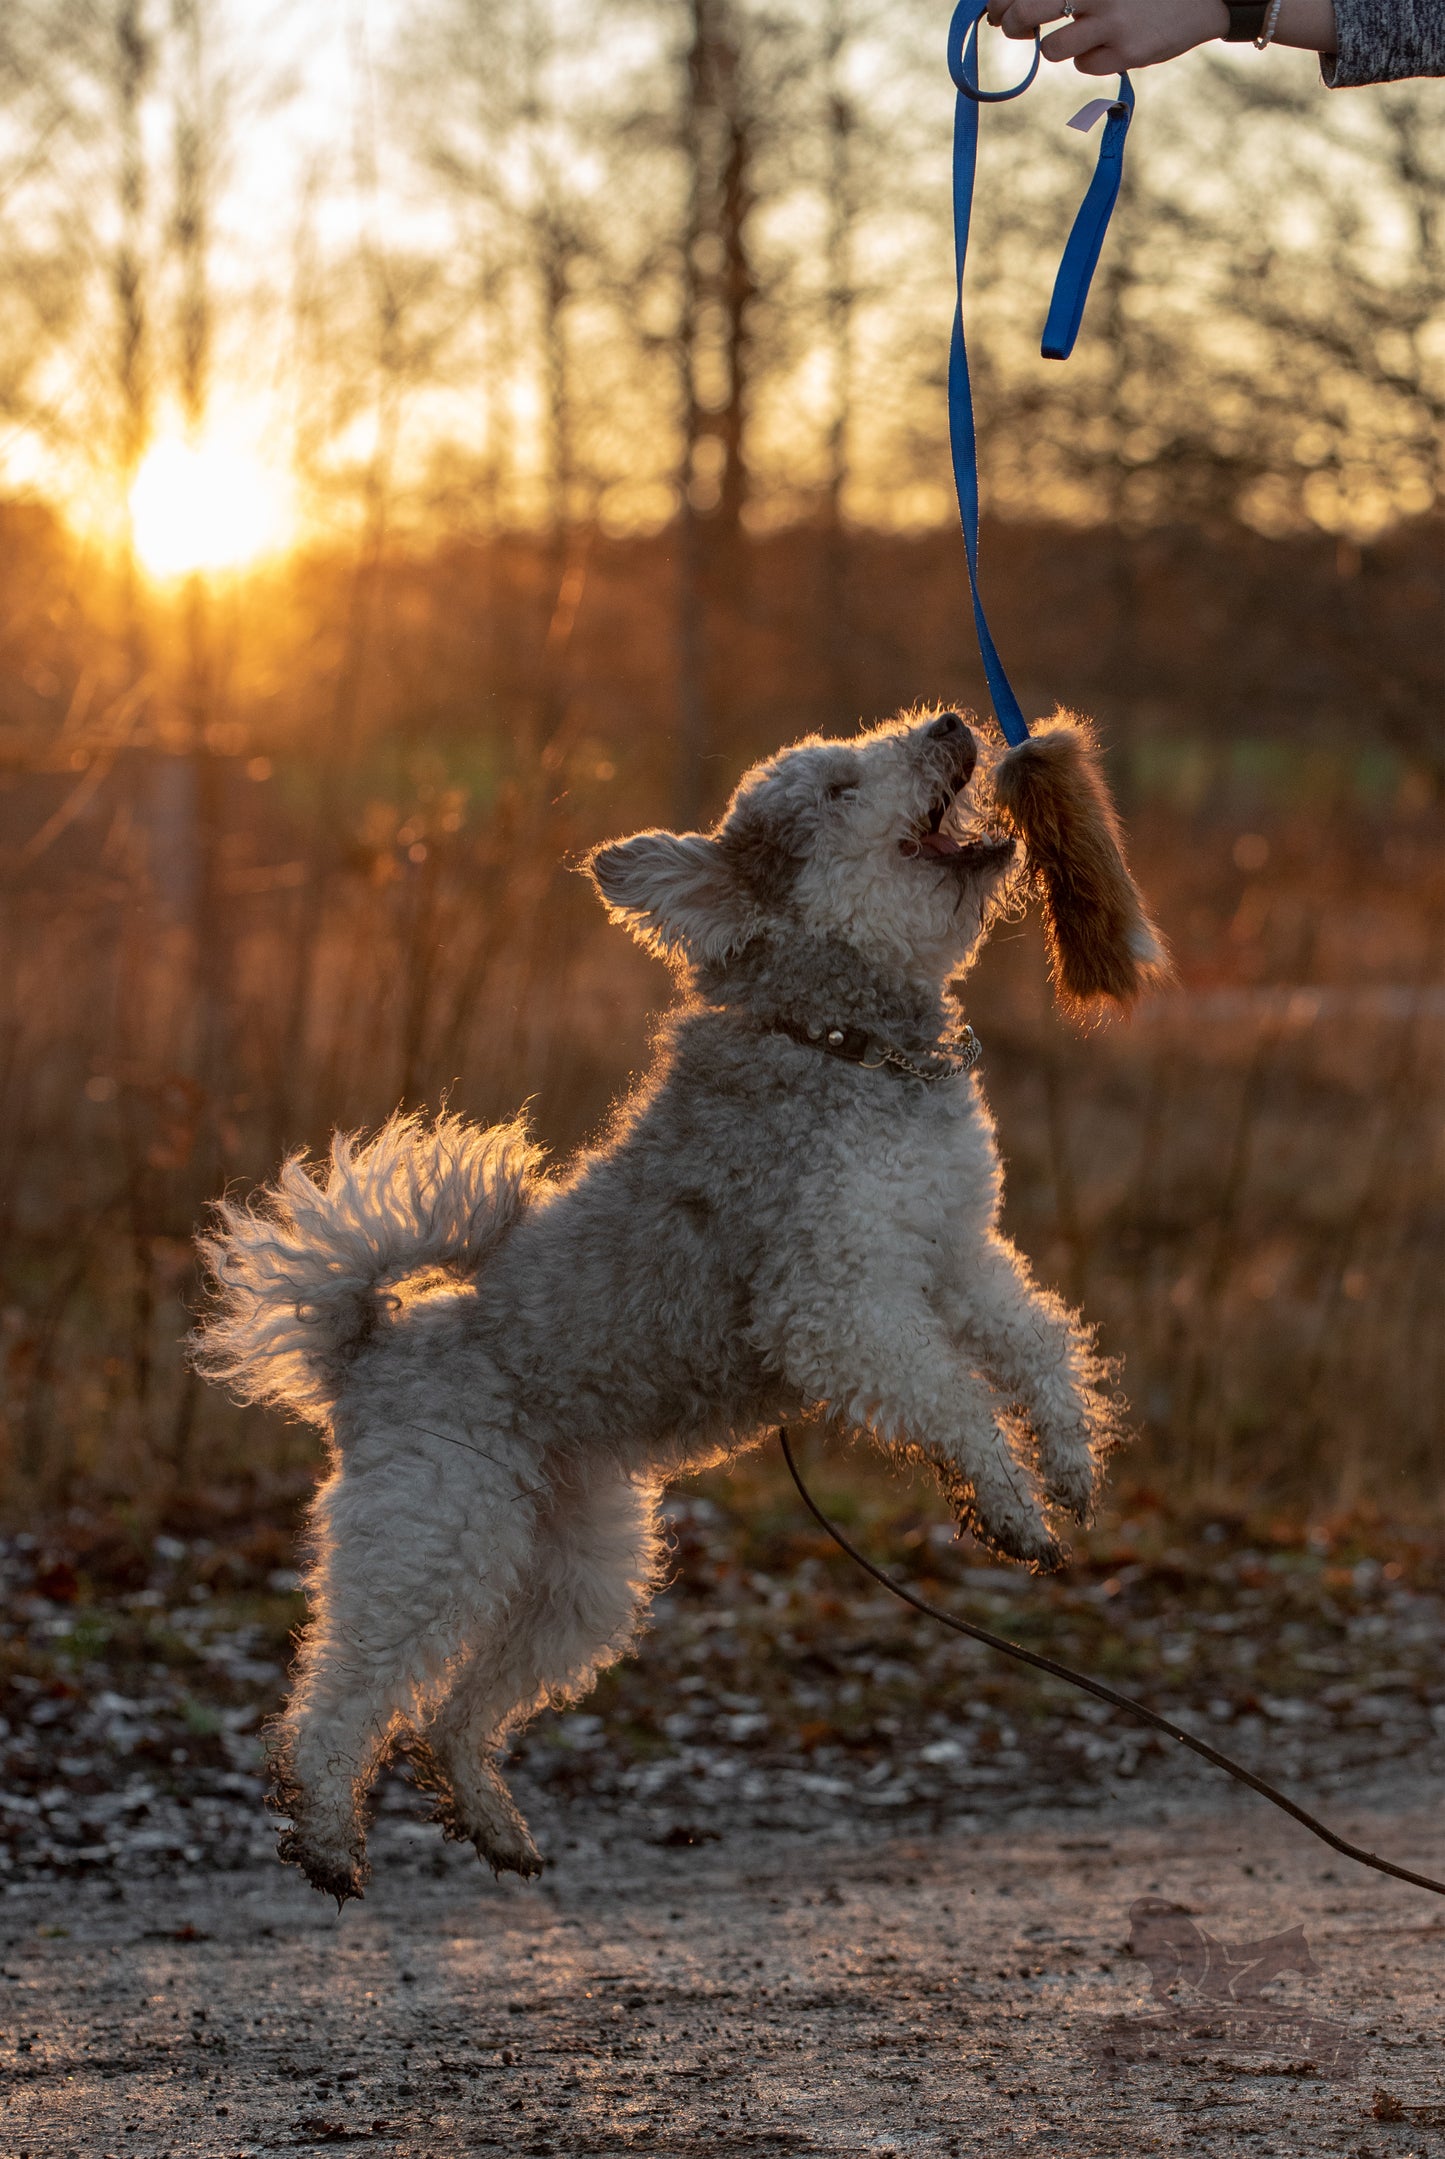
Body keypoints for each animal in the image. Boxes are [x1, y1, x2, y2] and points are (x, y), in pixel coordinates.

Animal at [194, 703, 1114, 1891]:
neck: (840, 1043)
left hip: (579, 1571)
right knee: (342, 1692)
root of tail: (368, 1348)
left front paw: (1070, 1464)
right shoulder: (837, 1305)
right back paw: (320, 1831)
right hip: (436, 1535)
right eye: (835, 784)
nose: (955, 721)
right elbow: (955, 1397)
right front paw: (1003, 1500)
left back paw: (491, 1822)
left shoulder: (954, 1255)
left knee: (456, 1714)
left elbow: (1038, 1346)